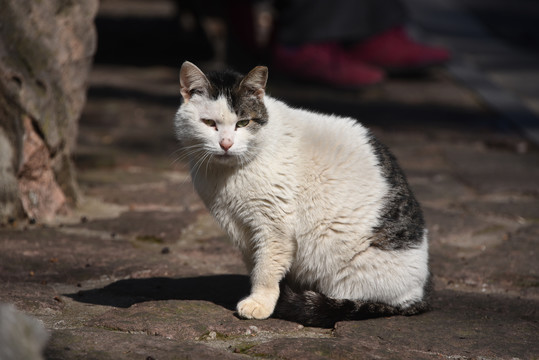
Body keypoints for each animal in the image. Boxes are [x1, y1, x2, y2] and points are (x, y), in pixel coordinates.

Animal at [175, 62, 432, 330]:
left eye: (243, 123)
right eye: (209, 123)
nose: (226, 144)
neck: (227, 174)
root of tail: (418, 296)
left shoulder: (274, 226)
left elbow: (266, 268)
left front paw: (261, 302)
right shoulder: (241, 228)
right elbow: (256, 263)